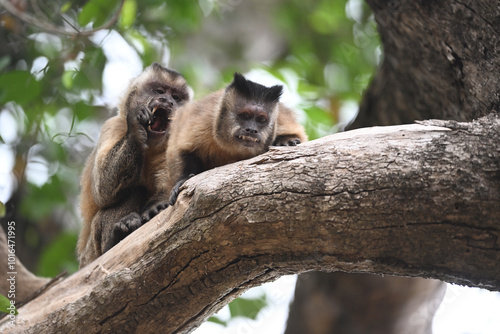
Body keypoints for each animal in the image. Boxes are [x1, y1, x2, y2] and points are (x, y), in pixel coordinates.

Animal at [77, 62, 191, 266]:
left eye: (176, 98)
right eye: (159, 91)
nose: (167, 101)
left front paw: (156, 206)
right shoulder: (112, 125)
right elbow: (102, 190)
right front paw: (136, 130)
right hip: (92, 251)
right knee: (133, 191)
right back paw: (116, 238)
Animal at [162, 73, 306, 206]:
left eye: (261, 119)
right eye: (245, 116)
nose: (251, 130)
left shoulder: (280, 117)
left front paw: (286, 140)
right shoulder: (203, 119)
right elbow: (180, 148)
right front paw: (183, 179)